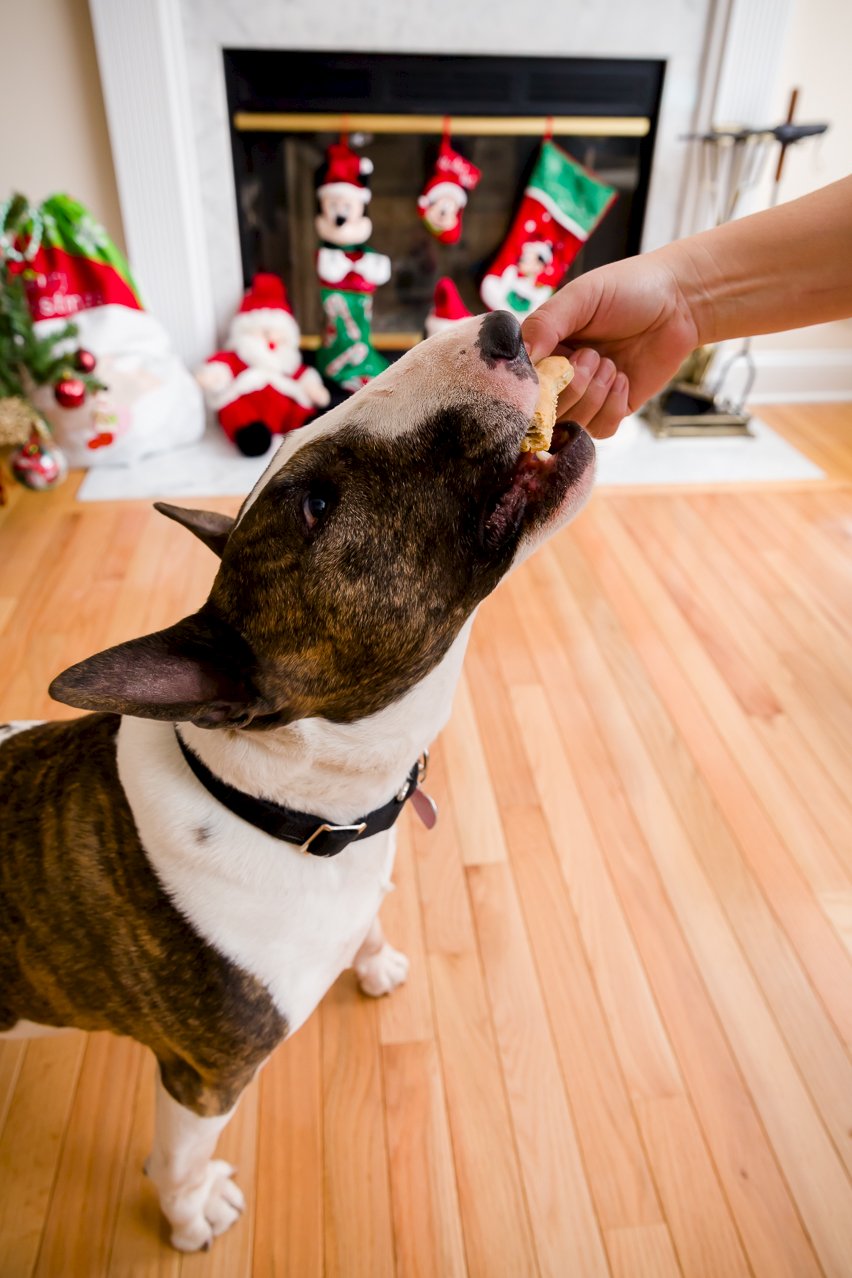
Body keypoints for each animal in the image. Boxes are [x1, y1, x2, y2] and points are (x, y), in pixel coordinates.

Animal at [0, 309, 592, 1247]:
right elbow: (179, 1157)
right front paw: (190, 1214)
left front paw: (373, 956)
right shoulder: (203, 1075)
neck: (284, 811)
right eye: (318, 506)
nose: (500, 327)